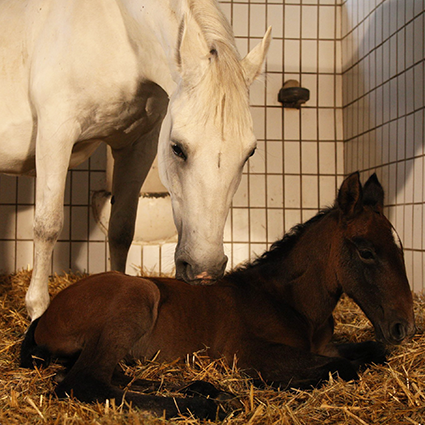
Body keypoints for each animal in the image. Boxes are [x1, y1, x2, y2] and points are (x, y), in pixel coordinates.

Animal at [0, 0, 270, 318]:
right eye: (177, 148)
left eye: (249, 152)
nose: (204, 270)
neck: (115, 34)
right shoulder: (56, 135)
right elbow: (47, 226)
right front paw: (37, 313)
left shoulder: (137, 145)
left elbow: (121, 229)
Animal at [20, 172, 414, 418]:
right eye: (366, 251)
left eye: (399, 248)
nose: (404, 327)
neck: (292, 303)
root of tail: (46, 315)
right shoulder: (249, 351)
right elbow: (345, 368)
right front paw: (273, 384)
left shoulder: (326, 346)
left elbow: (370, 352)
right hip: (137, 295)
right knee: (84, 382)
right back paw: (209, 406)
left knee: (105, 375)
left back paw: (204, 387)